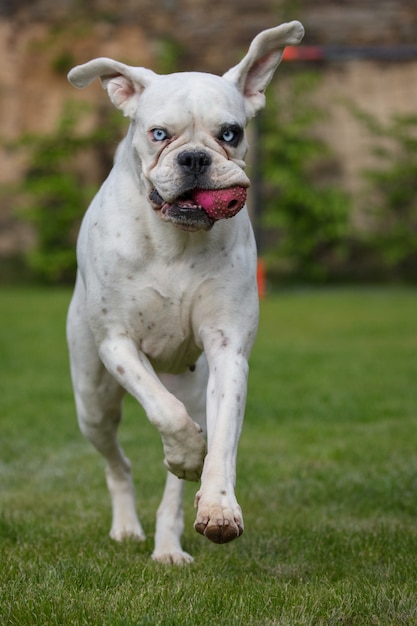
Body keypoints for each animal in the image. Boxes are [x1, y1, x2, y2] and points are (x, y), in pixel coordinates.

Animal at [66, 22, 304, 564]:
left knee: (175, 485)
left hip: (193, 389)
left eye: (230, 133)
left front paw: (217, 505)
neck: (175, 240)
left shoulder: (228, 351)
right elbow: (164, 412)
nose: (194, 157)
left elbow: (220, 443)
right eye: (160, 134)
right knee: (120, 463)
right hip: (93, 401)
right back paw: (128, 525)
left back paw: (168, 545)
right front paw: (186, 453)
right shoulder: (117, 344)